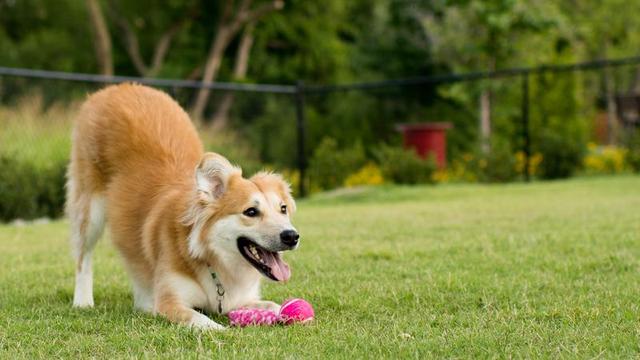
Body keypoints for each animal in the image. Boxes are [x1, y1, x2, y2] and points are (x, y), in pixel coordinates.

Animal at [66, 83, 298, 330]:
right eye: (251, 212)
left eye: (283, 209)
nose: (292, 236)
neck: (213, 259)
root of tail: (118, 87)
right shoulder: (170, 302)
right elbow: (200, 319)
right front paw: (221, 329)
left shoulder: (241, 299)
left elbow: (274, 305)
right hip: (90, 210)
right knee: (83, 257)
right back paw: (83, 301)